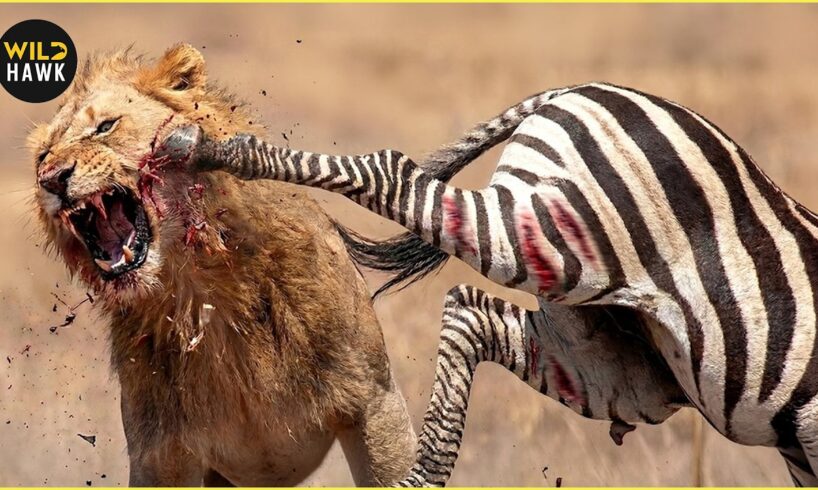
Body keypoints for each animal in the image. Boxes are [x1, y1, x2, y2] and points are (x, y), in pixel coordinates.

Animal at [28, 44, 416, 486]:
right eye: (42, 156)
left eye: (105, 127)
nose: (52, 178)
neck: (201, 289)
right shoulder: (160, 454)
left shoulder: (375, 403)